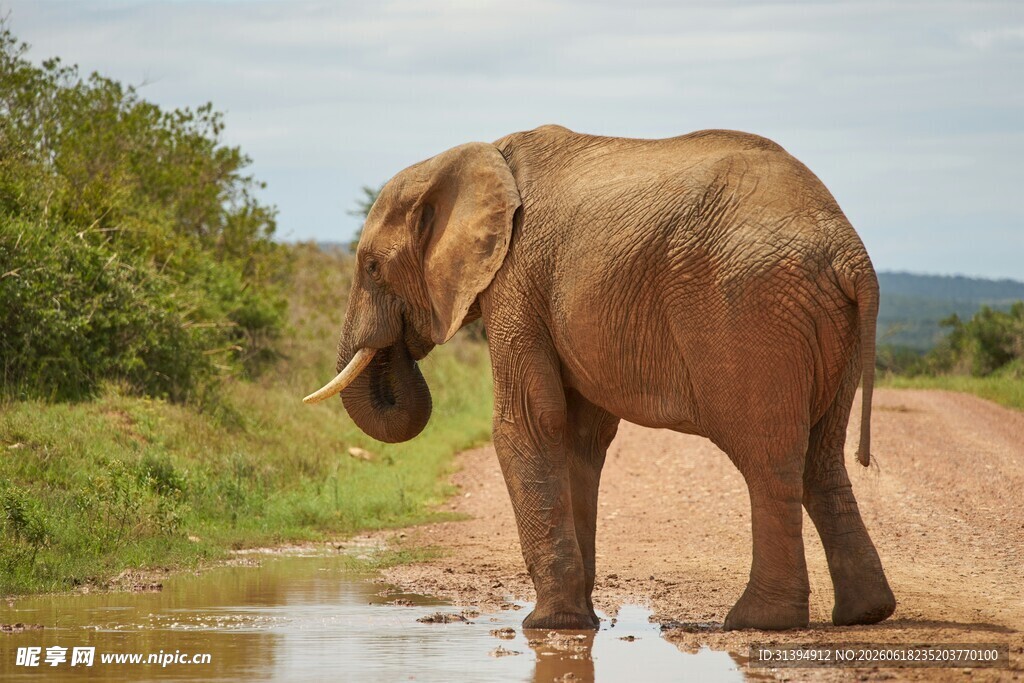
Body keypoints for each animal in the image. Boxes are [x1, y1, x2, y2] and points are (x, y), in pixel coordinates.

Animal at [304, 125, 897, 632]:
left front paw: (547, 625)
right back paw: (865, 614)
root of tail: (849, 251)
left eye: (371, 267)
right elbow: (578, 434)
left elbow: (527, 424)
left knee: (768, 458)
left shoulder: (516, 278)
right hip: (825, 324)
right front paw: (577, 620)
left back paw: (757, 621)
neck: (469, 156)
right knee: (823, 458)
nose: (399, 349)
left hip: (750, 309)